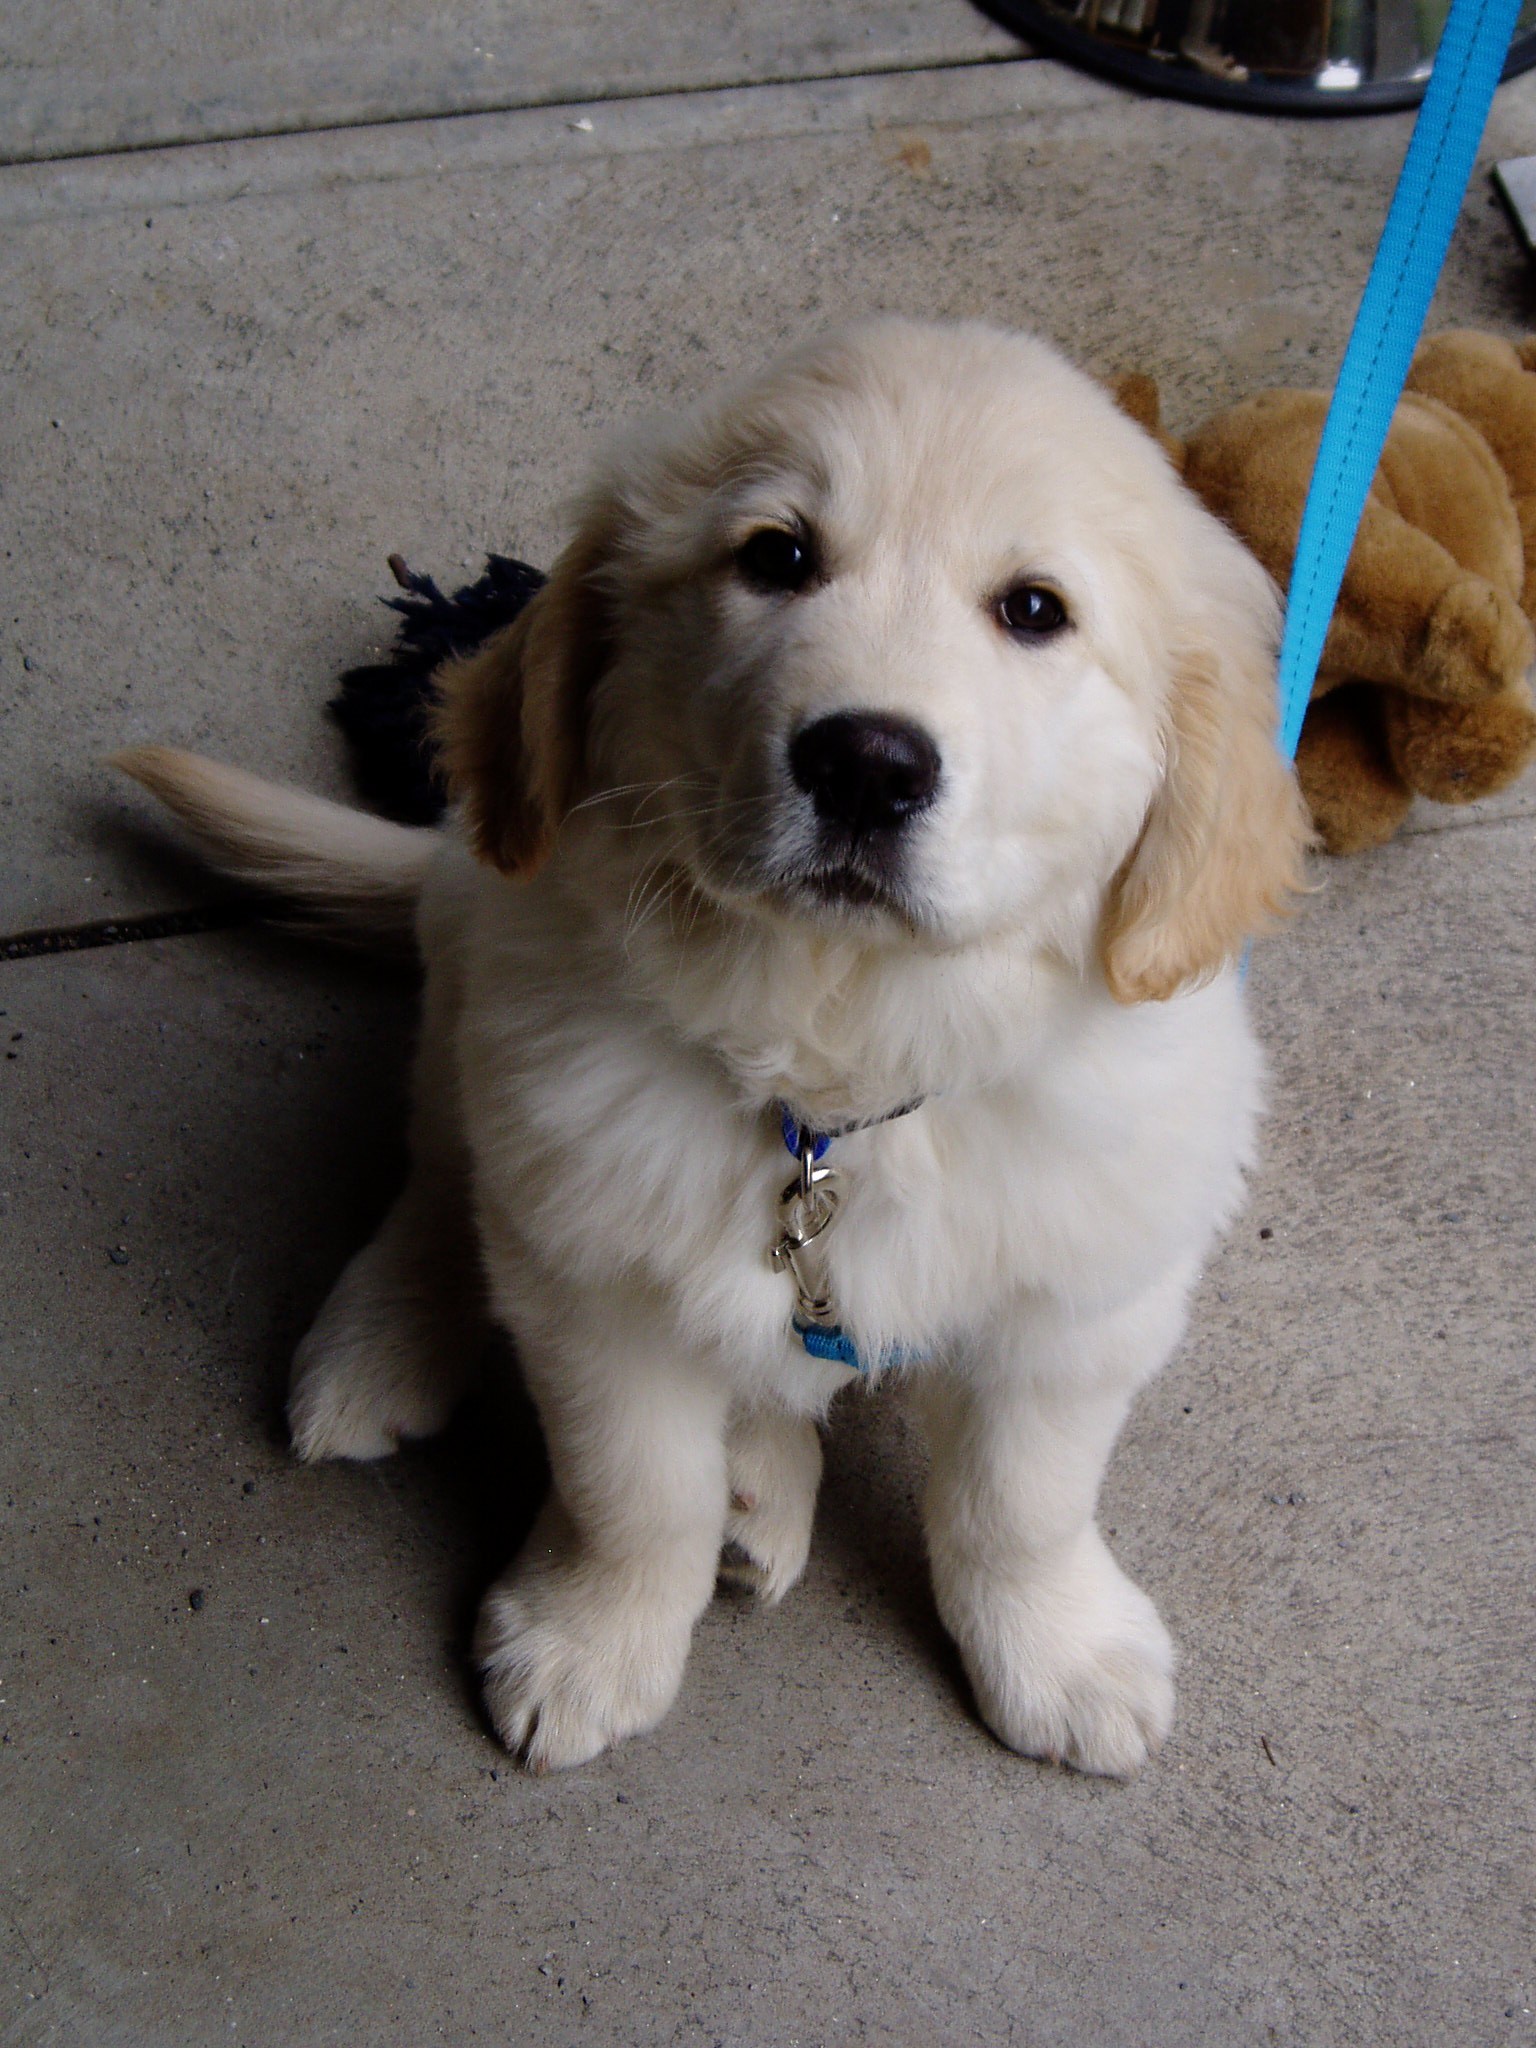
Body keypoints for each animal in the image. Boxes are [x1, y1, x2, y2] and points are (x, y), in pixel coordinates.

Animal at [120, 319, 1310, 1777]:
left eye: (1035, 610)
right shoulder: (594, 1281)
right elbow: (634, 1488)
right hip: (475, 971)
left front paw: (1056, 1647)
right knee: (441, 1178)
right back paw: (385, 1343)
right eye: (777, 557)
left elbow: (1020, 1499)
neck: (836, 1068)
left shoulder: (1083, 1299)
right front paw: (594, 1635)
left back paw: (762, 1479)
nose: (865, 763)